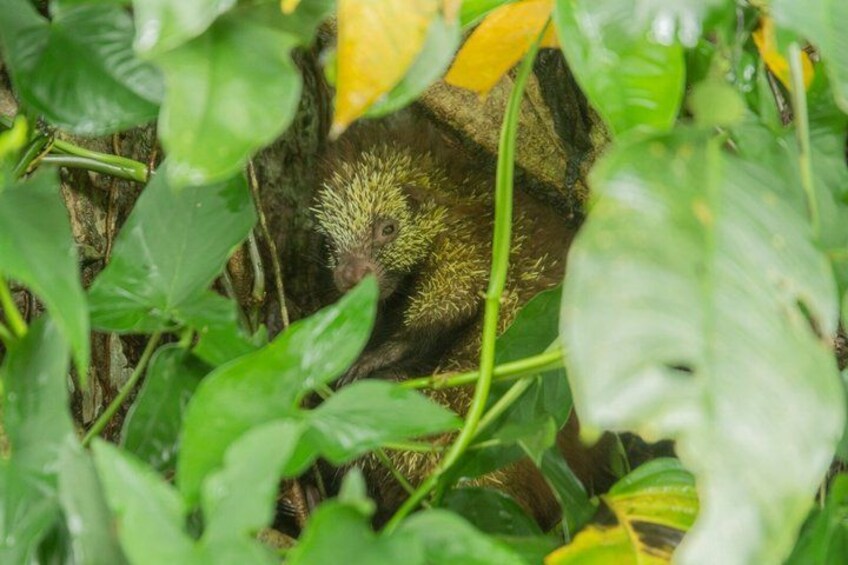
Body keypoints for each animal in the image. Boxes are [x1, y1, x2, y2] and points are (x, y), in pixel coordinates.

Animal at [312, 116, 614, 527]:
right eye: (330, 245)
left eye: (387, 228)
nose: (350, 276)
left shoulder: (468, 248)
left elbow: (450, 306)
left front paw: (373, 362)